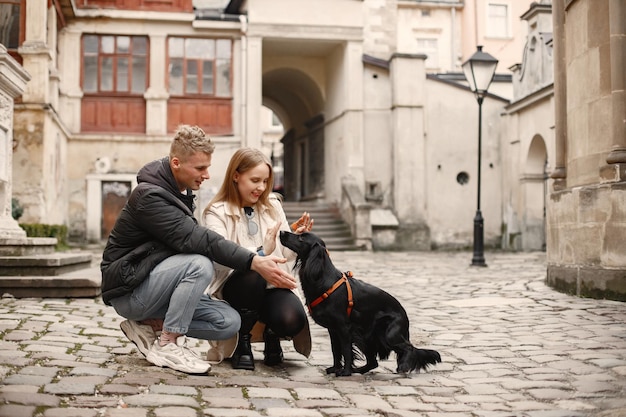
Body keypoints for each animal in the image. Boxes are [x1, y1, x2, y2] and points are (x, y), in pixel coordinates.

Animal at [278, 229, 438, 376]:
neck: (323, 278)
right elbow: (336, 351)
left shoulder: (344, 327)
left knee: (408, 347)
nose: (281, 232)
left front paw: (345, 372)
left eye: (301, 237)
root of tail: (404, 314)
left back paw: (403, 366)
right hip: (367, 338)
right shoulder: (333, 329)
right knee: (373, 362)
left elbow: (346, 351)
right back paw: (359, 370)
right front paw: (335, 369)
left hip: (388, 335)